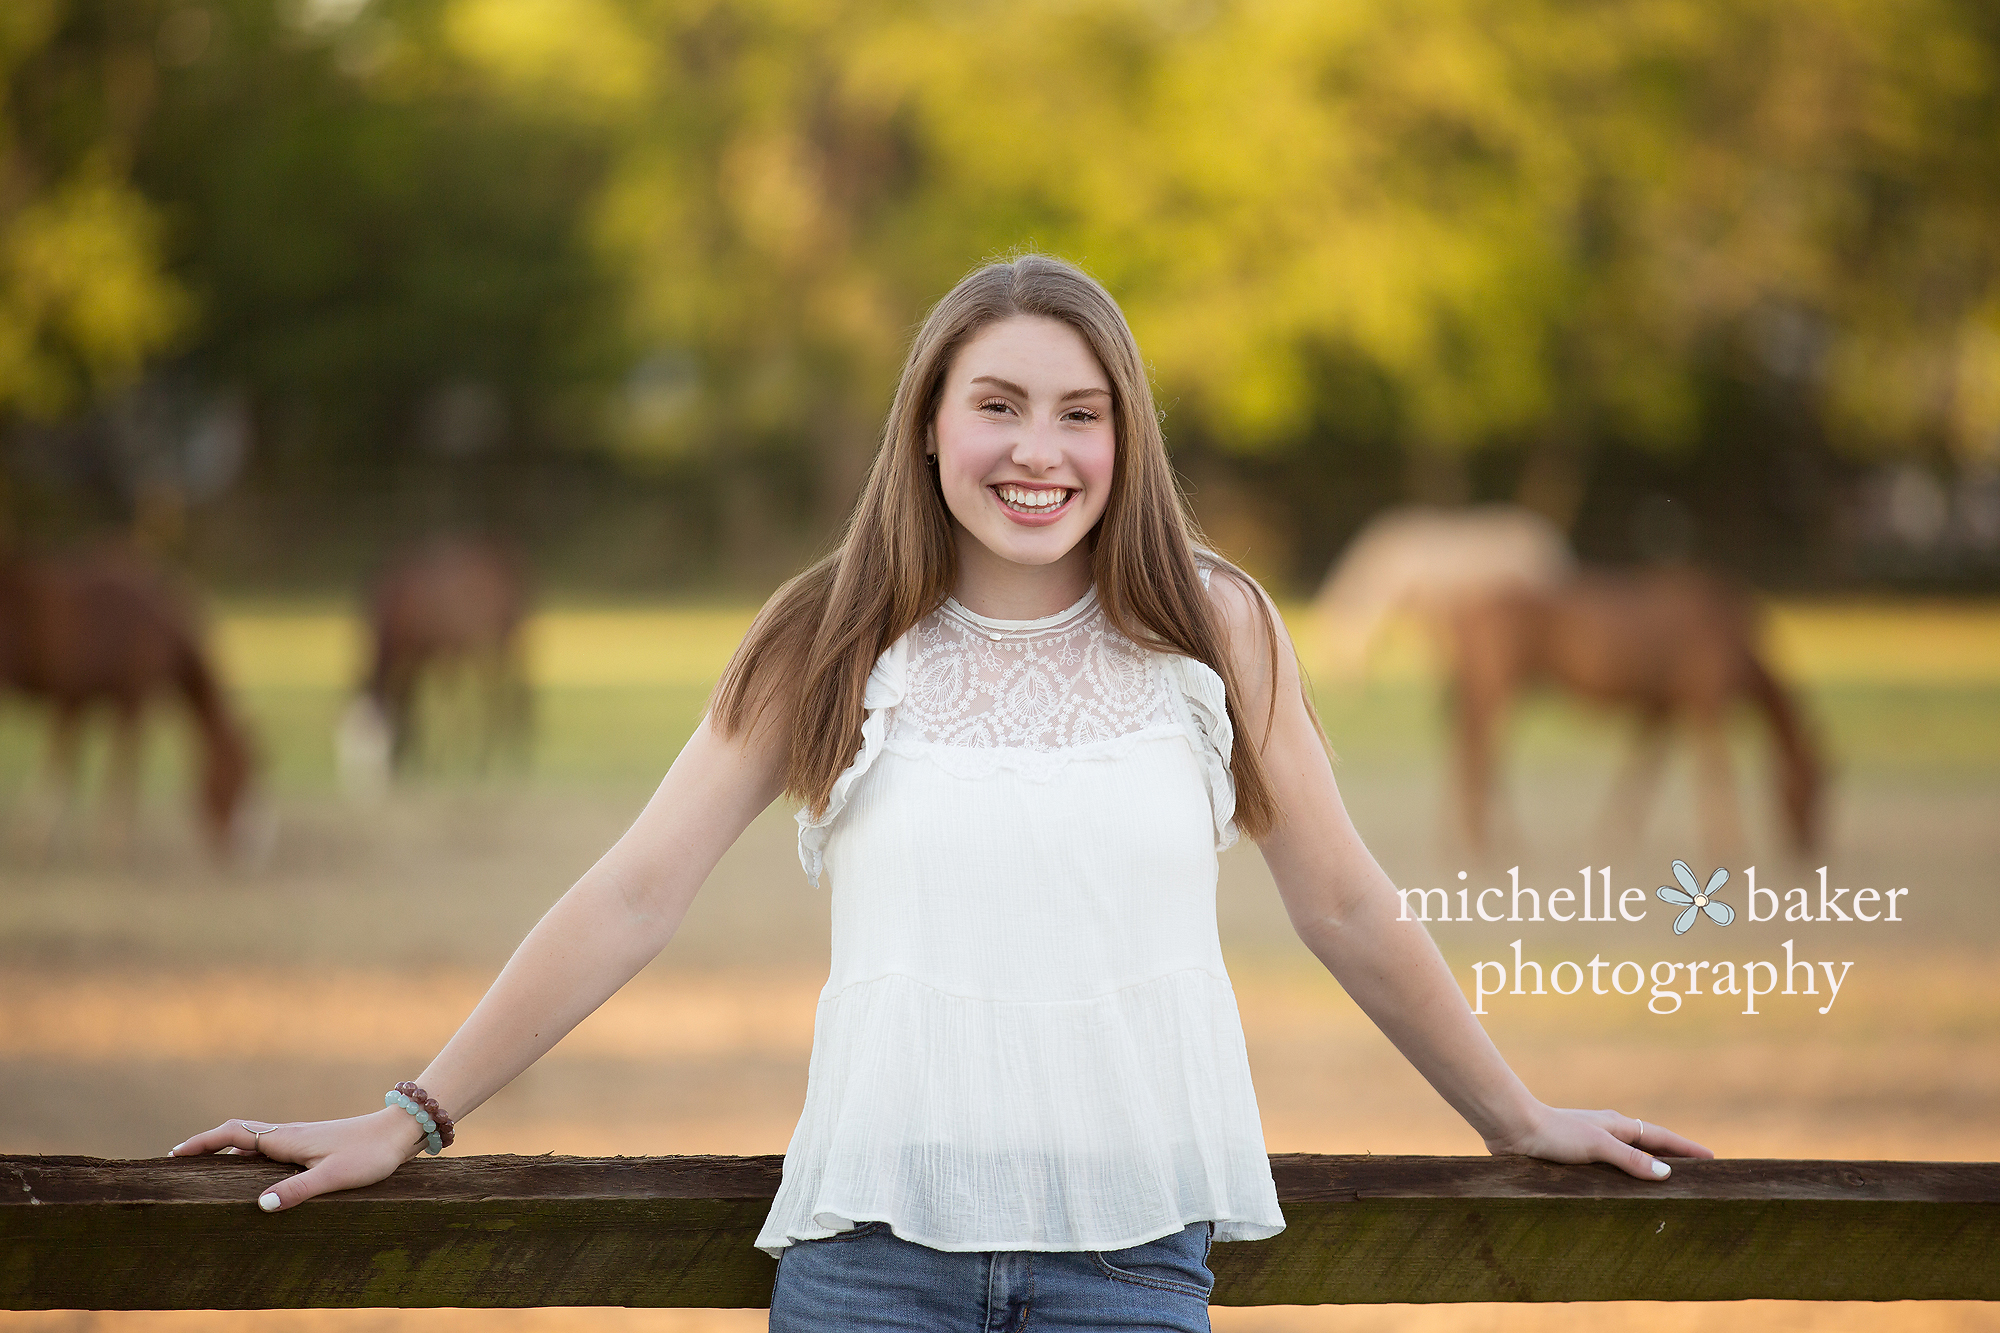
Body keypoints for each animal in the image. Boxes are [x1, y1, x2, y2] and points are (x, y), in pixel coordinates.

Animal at [0, 544, 260, 856]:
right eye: (237, 775)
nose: (243, 850)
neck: (155, 623)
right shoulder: (96, 699)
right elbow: (93, 764)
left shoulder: (91, 701)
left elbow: (83, 763)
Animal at [340, 536, 536, 792]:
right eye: (344, 740)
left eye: (374, 739)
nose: (362, 789)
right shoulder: (425, 656)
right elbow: (412, 702)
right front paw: (415, 758)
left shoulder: (424, 653)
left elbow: (419, 703)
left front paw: (424, 762)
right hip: (506, 639)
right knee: (515, 692)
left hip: (491, 640)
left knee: (496, 699)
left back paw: (488, 761)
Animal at [1440, 564, 1832, 856]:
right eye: (1814, 782)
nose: (1810, 846)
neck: (1733, 637)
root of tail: (1466, 608)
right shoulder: (1705, 702)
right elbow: (1714, 768)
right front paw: (1728, 845)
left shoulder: (1663, 707)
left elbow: (1642, 767)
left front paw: (1612, 835)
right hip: (1499, 687)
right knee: (1482, 753)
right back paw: (1483, 841)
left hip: (1495, 689)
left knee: (1474, 751)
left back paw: (1478, 838)